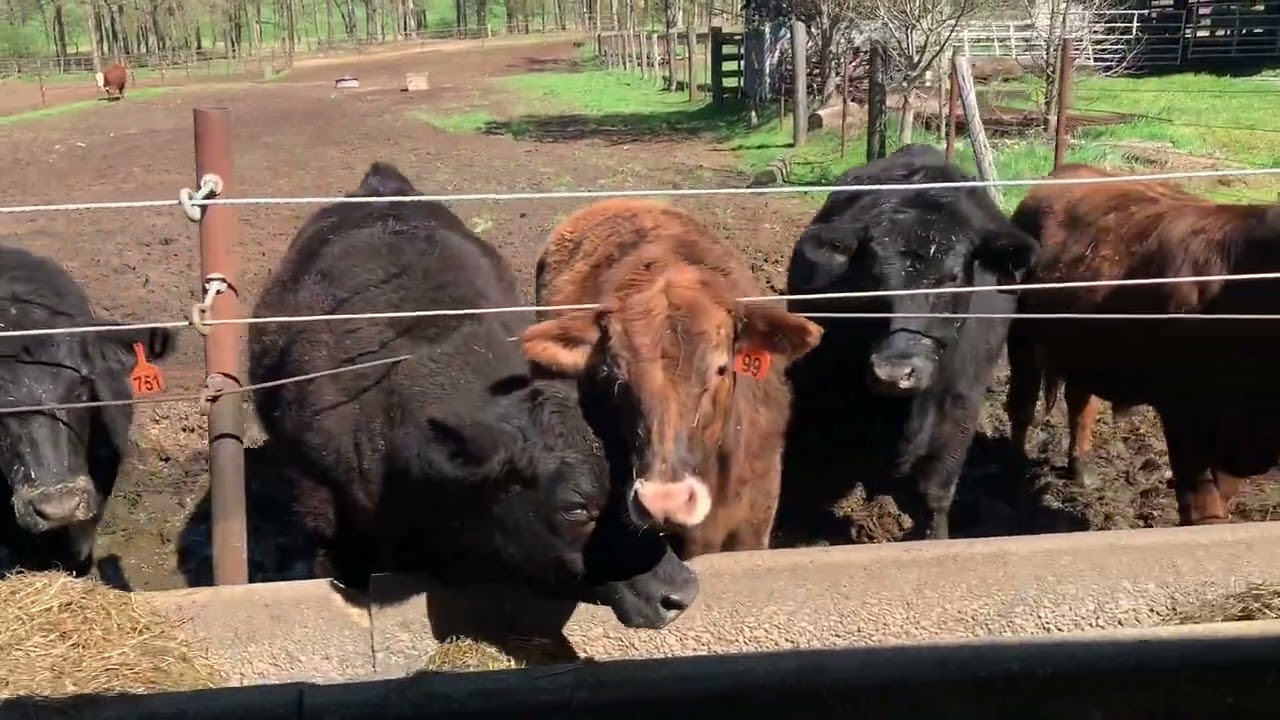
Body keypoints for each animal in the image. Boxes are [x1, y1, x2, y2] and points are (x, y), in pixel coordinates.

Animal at [1005, 163, 1280, 526]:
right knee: (1021, 407)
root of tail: (1066, 172)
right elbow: (1200, 500)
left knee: (1081, 402)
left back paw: (1082, 469)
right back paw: (1013, 479)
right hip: (1020, 335)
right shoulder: (1184, 411)